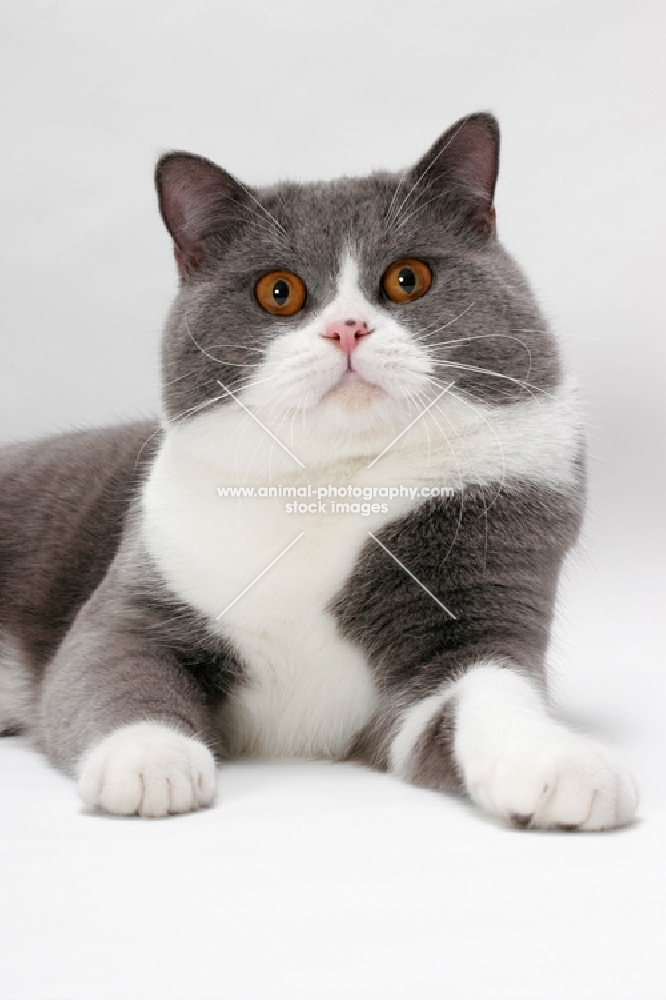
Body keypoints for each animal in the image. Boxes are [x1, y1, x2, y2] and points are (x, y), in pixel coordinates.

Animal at [0, 111, 636, 828]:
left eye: (408, 278)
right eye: (279, 292)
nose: (348, 329)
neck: (331, 482)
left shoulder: (486, 580)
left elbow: (486, 688)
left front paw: (563, 766)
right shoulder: (140, 593)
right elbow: (110, 666)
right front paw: (149, 761)